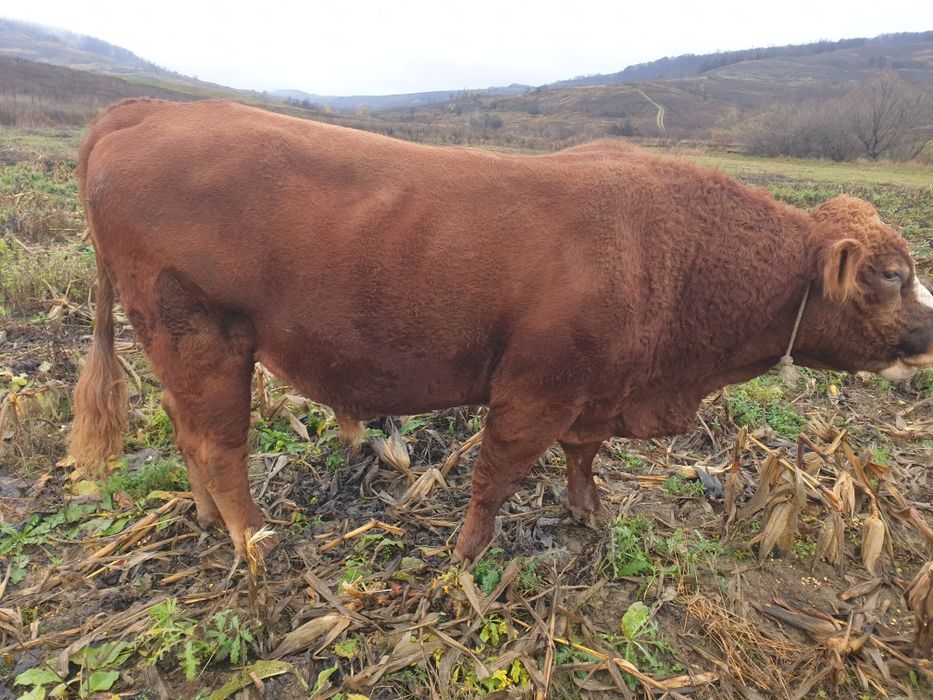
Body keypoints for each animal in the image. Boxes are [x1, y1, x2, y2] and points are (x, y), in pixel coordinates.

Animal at [69, 98, 933, 564]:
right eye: (891, 274)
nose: (928, 331)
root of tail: (149, 110)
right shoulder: (533, 388)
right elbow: (496, 474)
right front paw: (467, 556)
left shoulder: (597, 387)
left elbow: (583, 454)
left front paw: (588, 512)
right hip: (204, 336)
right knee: (219, 443)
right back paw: (255, 539)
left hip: (177, 344)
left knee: (185, 430)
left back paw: (209, 520)